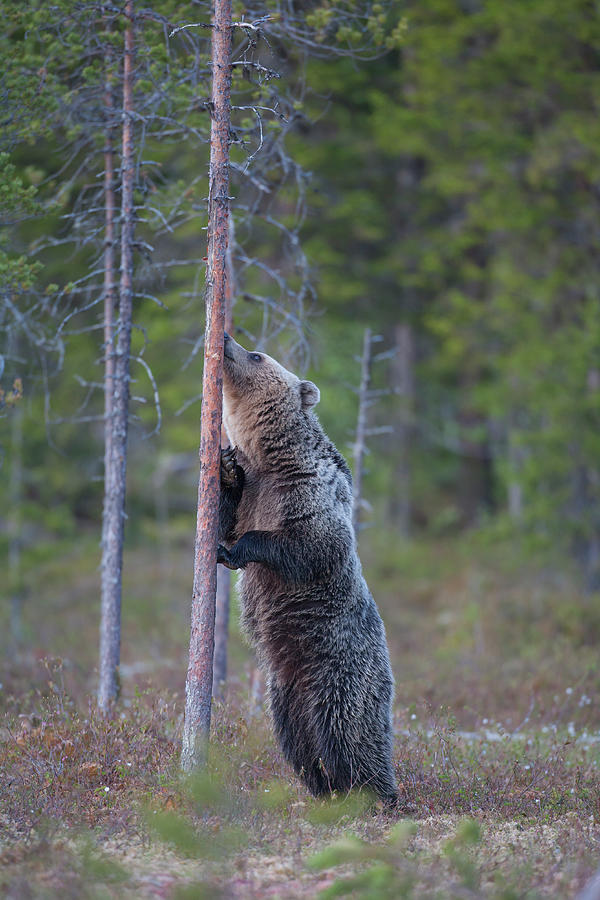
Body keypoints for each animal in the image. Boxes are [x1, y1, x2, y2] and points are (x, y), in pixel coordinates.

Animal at [217, 334, 398, 804]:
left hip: (340, 672)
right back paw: (321, 790)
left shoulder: (308, 491)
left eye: (257, 354)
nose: (225, 337)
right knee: (300, 745)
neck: (271, 459)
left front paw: (239, 550)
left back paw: (375, 794)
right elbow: (224, 518)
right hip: (284, 697)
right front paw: (224, 467)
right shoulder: (255, 492)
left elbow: (312, 544)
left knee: (350, 734)